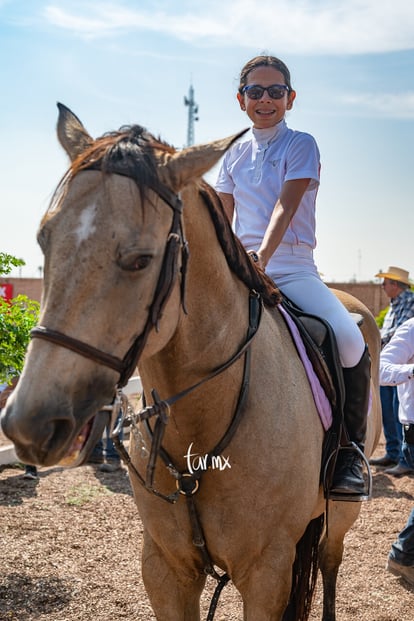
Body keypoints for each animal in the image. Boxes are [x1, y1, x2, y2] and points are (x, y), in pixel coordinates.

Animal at [0, 105, 382, 620]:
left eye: (140, 260)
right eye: (45, 240)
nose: (29, 423)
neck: (201, 419)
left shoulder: (266, 572)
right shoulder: (165, 566)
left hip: (340, 513)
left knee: (329, 562)